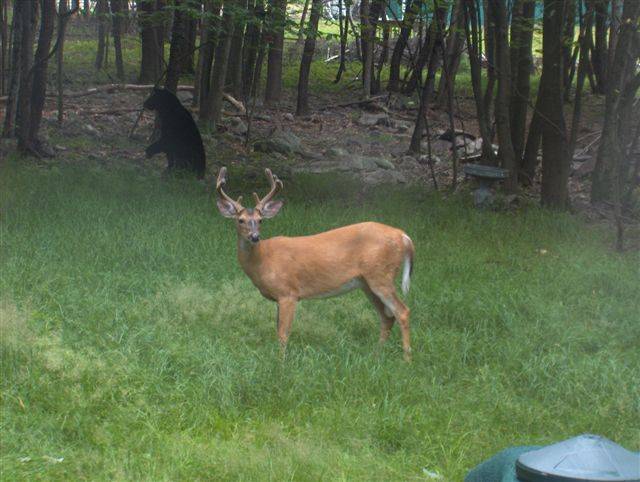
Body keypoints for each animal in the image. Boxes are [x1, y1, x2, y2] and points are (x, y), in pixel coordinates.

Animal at [215, 168, 416, 360]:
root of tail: (404, 237)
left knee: (402, 311)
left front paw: (280, 362)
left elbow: (283, 334)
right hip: (366, 282)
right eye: (240, 220)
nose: (255, 237)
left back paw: (406, 358)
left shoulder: (288, 292)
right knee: (387, 316)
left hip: (381, 275)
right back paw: (376, 354)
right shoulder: (279, 298)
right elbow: (277, 330)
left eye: (260, 220)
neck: (264, 260)